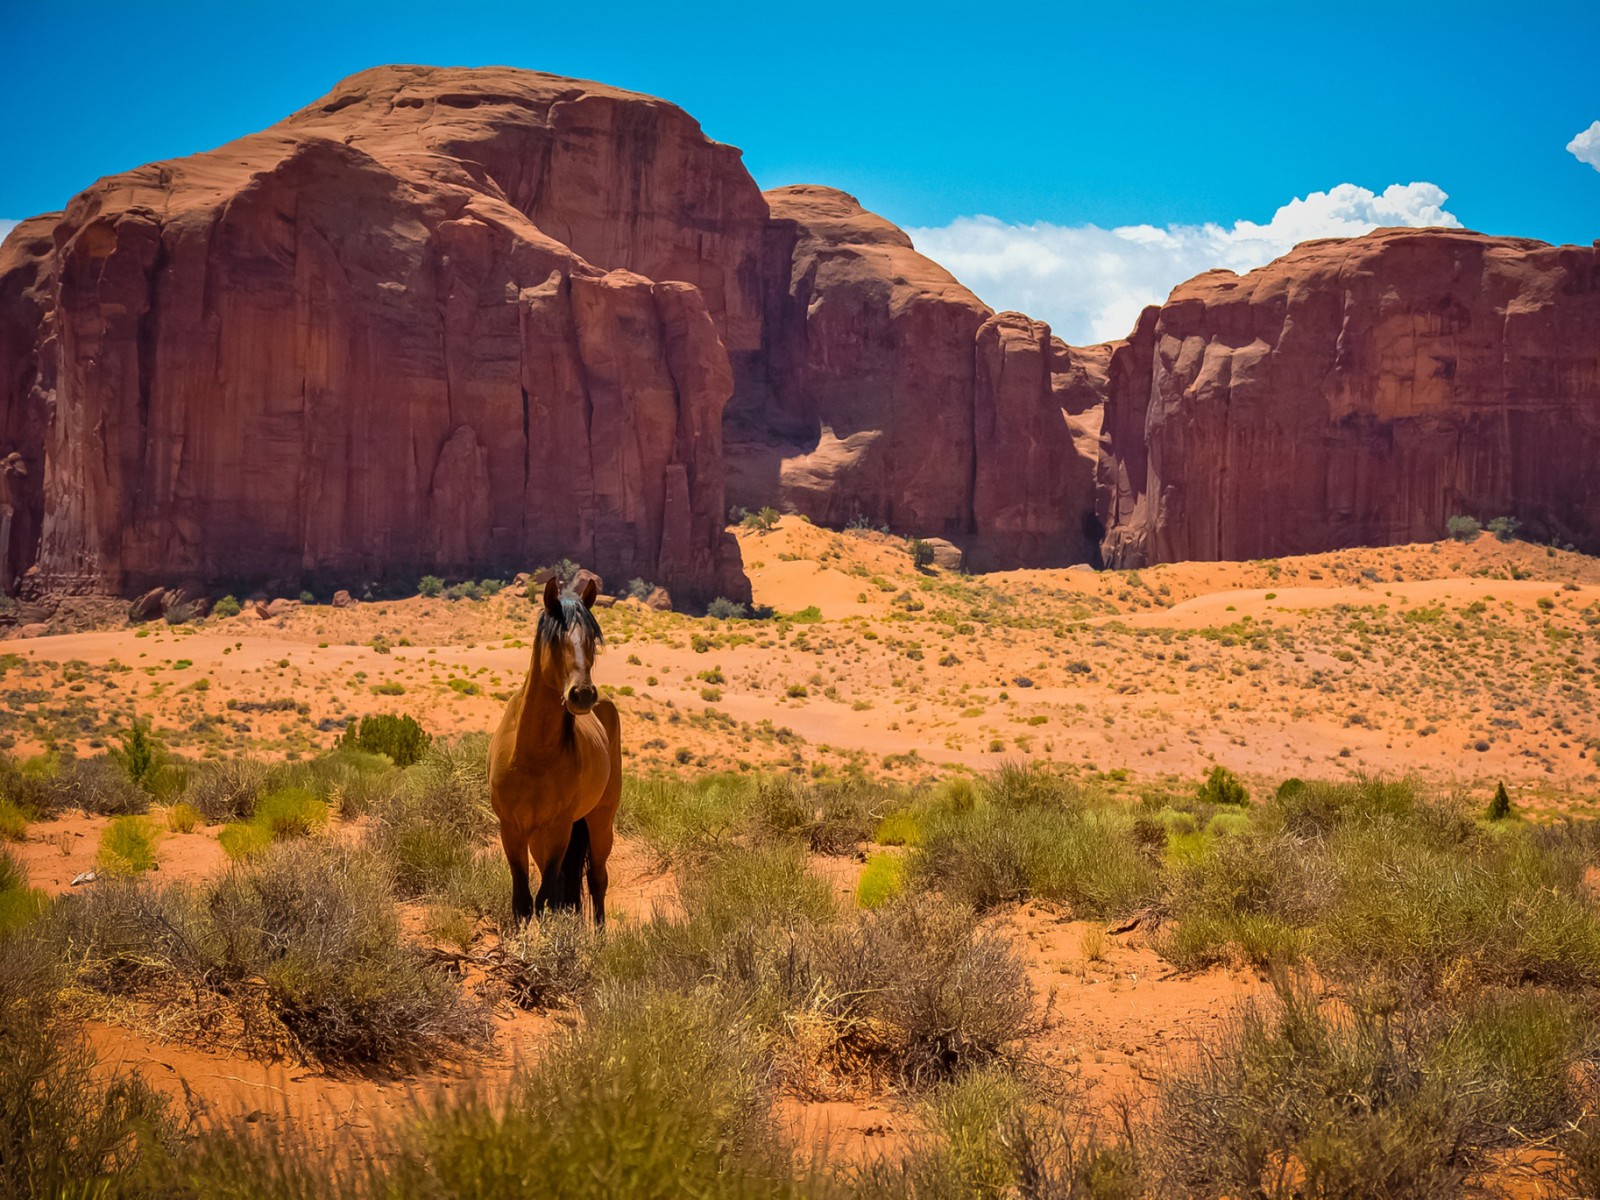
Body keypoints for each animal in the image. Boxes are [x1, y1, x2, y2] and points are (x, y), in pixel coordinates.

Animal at [486, 579, 617, 928]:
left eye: (592, 638)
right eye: (556, 639)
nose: (582, 694)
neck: (532, 756)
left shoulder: (559, 828)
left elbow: (546, 899)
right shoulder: (512, 829)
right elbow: (523, 902)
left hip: (601, 819)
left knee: (597, 878)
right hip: (540, 837)